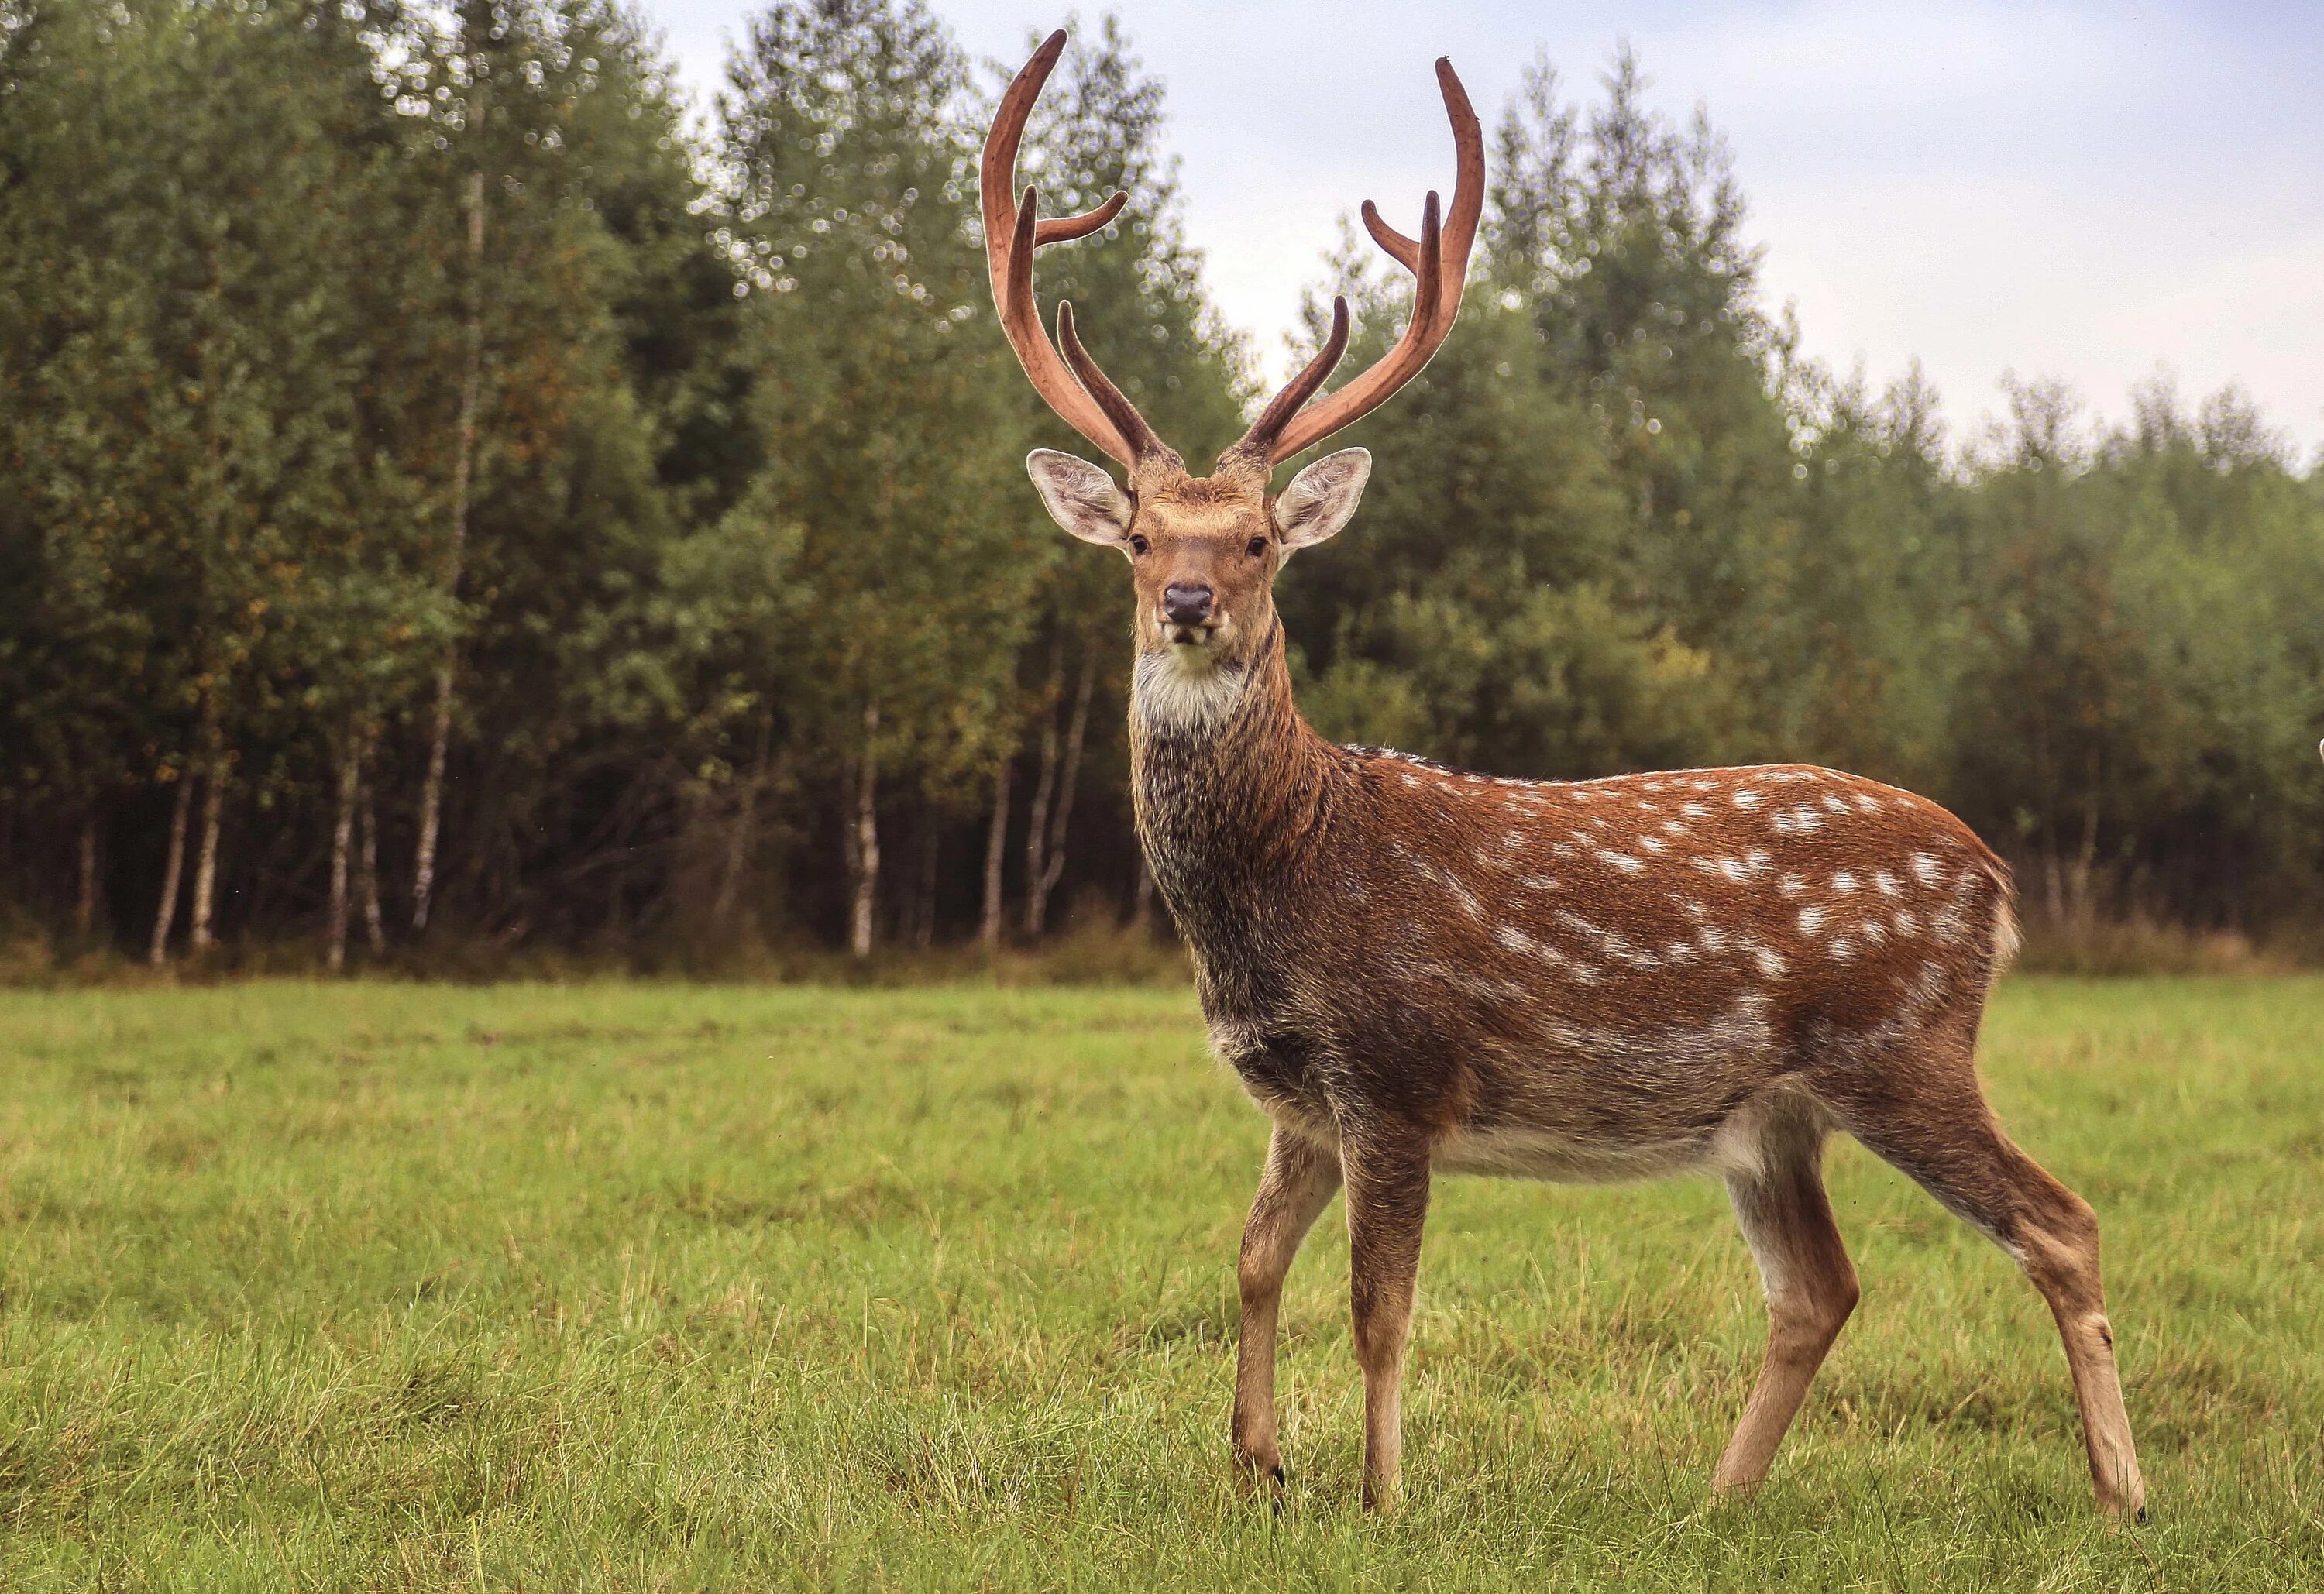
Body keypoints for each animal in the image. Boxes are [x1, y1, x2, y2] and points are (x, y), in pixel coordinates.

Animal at [981, 31, 2138, 1515]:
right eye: (1135, 537)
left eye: (1257, 542)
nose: (1188, 601)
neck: (1284, 880)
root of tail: (1993, 879)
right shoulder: (1300, 1096)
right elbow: (1249, 1261)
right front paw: (1257, 1464)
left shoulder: (1397, 1069)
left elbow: (1379, 1305)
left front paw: (1381, 1495)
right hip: (1774, 1115)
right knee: (1821, 1286)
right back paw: (1715, 1499)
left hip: (1904, 1045)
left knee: (2061, 1219)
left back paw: (2121, 1492)